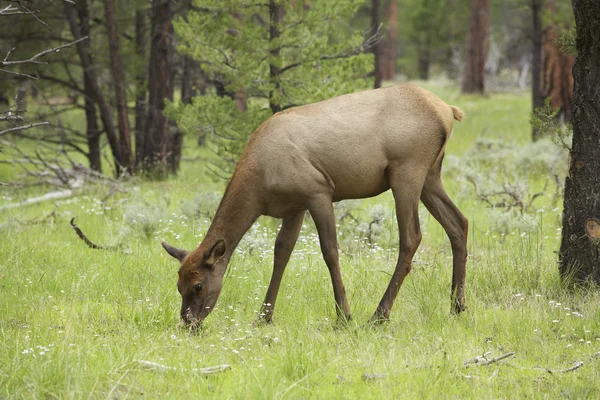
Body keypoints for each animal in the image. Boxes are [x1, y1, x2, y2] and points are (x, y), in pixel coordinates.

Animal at [163, 83, 468, 328]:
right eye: (178, 285)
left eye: (198, 284)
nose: (188, 323)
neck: (259, 189)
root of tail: (448, 111)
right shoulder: (293, 208)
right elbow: (281, 254)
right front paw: (263, 316)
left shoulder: (318, 192)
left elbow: (330, 252)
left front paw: (344, 316)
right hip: (430, 175)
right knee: (459, 223)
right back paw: (457, 305)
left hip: (407, 172)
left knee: (411, 237)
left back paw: (379, 315)